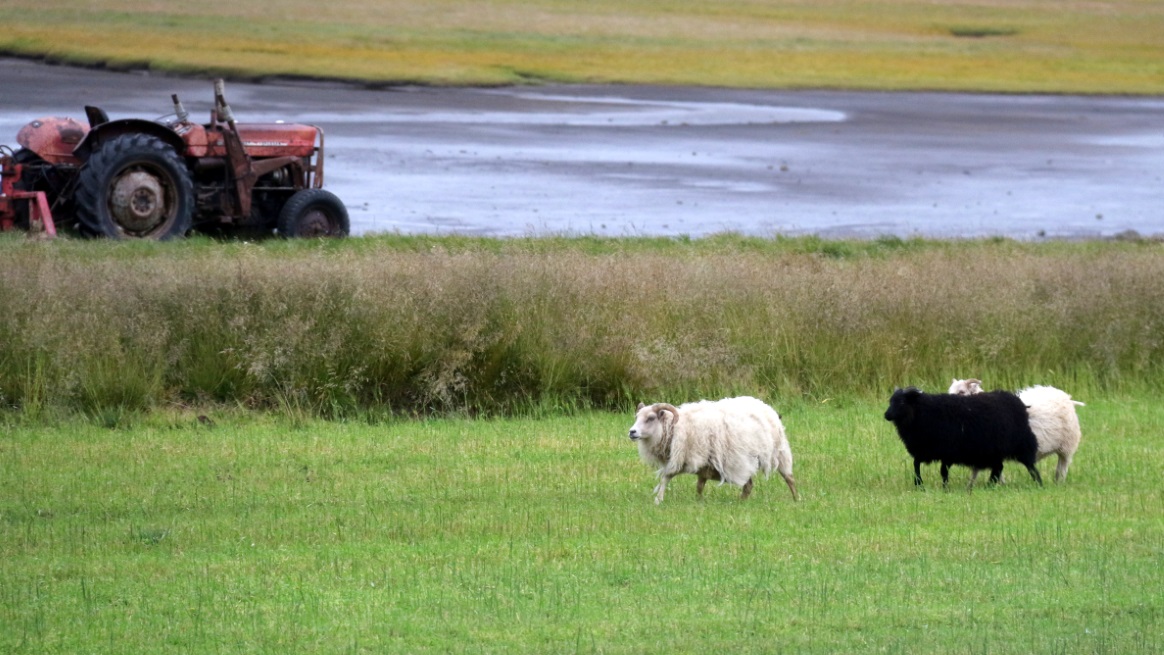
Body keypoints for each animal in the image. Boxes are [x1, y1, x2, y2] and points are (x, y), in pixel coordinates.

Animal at [627, 396, 798, 504]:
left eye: (650, 418)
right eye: (636, 417)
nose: (632, 432)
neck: (675, 427)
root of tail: (768, 408)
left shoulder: (682, 458)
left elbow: (666, 477)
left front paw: (658, 500)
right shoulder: (703, 464)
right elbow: (699, 485)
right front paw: (698, 501)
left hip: (779, 452)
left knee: (789, 478)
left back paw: (797, 499)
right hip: (743, 461)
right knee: (748, 485)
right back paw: (741, 502)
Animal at [884, 387, 1043, 488]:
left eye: (902, 402)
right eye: (890, 401)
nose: (886, 415)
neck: (922, 412)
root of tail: (1019, 403)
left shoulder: (947, 450)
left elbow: (943, 471)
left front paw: (944, 487)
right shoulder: (925, 449)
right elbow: (916, 464)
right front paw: (919, 484)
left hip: (1020, 443)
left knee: (1029, 465)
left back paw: (1039, 483)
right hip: (995, 451)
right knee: (998, 467)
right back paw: (989, 486)